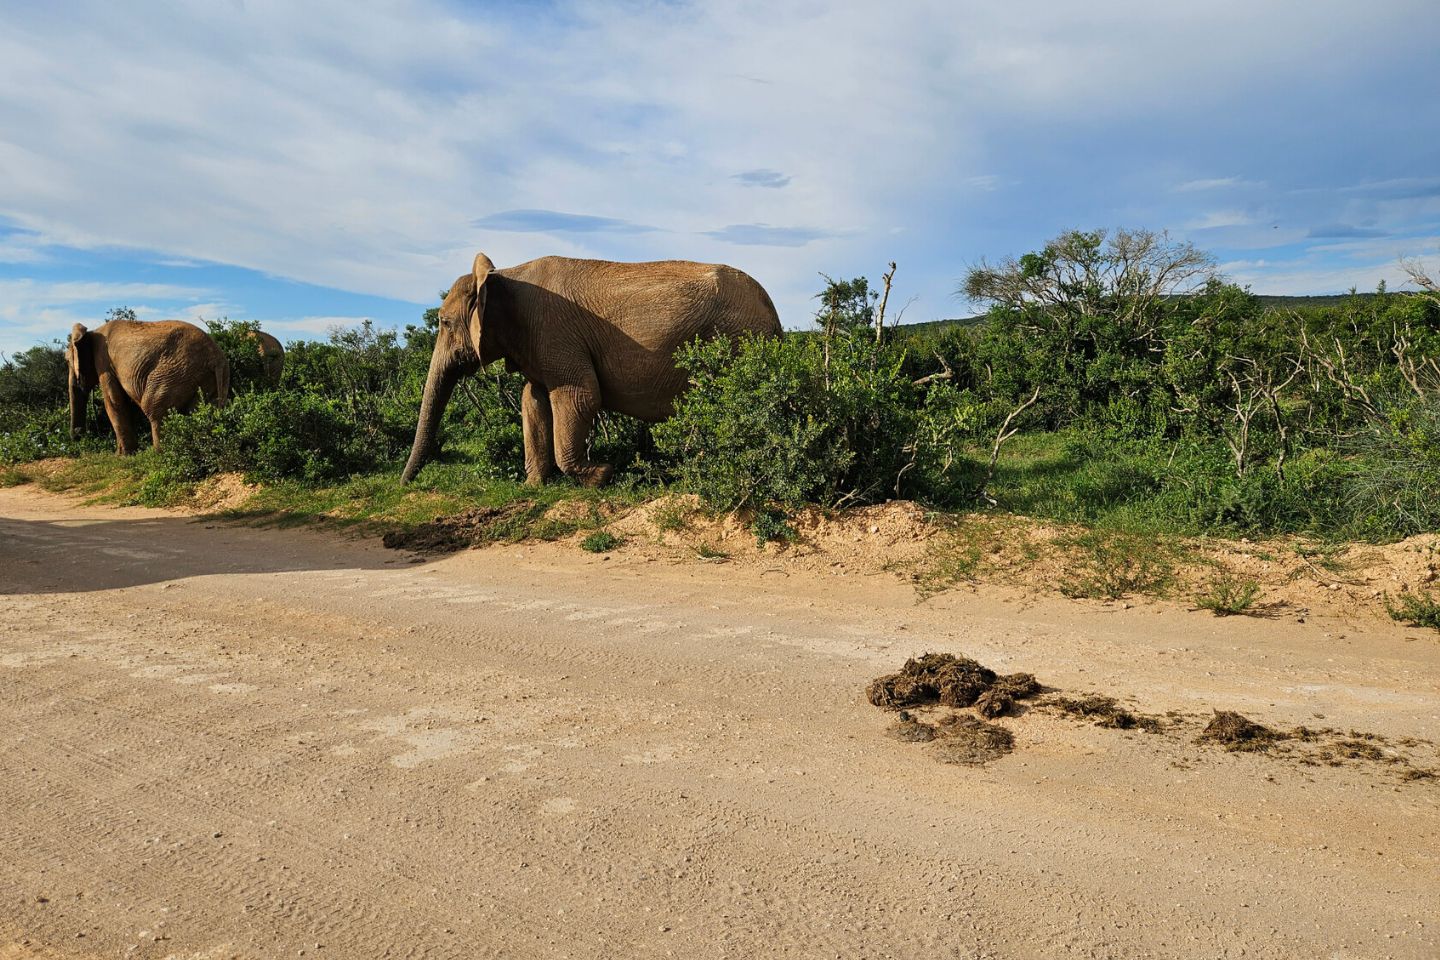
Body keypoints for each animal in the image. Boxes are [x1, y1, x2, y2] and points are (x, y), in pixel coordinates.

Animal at [67, 319, 230, 454]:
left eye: (67, 361)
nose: (77, 439)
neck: (92, 331)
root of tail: (216, 358)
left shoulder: (103, 360)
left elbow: (114, 401)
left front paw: (122, 456)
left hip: (174, 373)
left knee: (153, 408)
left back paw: (159, 453)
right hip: (208, 378)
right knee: (197, 410)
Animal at [400, 251, 783, 489]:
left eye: (444, 323)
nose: (403, 484)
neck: (503, 277)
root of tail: (773, 312)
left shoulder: (556, 333)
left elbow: (580, 396)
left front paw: (602, 475)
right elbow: (533, 401)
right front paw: (534, 486)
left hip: (735, 338)